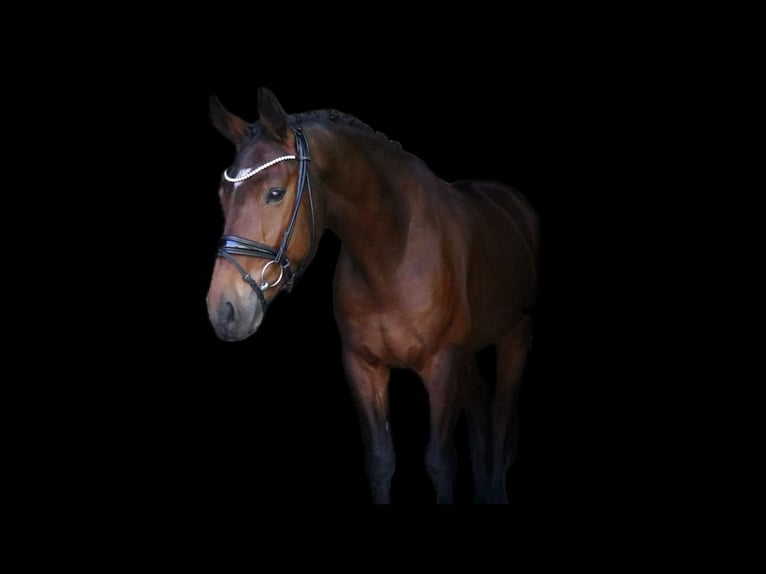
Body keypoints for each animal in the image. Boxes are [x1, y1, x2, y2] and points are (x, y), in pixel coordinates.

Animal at [205, 87, 540, 504]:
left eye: (275, 193)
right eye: (222, 195)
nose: (224, 309)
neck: (391, 254)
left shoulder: (442, 365)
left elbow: (441, 462)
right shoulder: (363, 367)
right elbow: (381, 461)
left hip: (514, 339)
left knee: (498, 418)